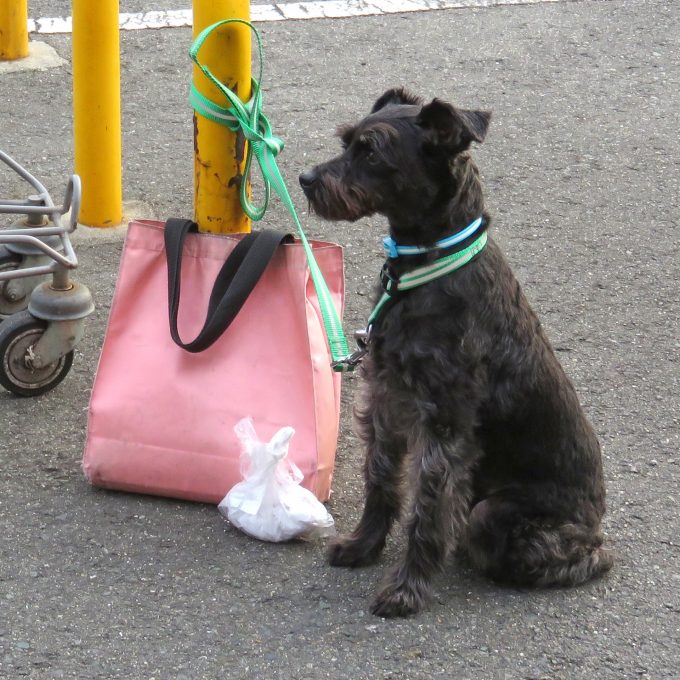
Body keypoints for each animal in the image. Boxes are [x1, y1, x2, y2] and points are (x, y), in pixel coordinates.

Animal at [298, 89, 612, 616]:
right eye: (346, 142)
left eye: (371, 152)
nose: (305, 179)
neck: (427, 267)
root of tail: (595, 517)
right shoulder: (385, 399)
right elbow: (380, 479)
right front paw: (363, 546)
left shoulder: (444, 427)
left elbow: (426, 511)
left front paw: (406, 588)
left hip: (499, 515)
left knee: (586, 557)